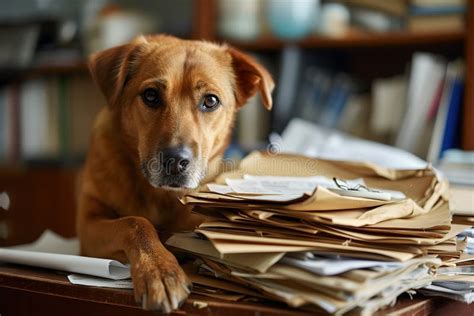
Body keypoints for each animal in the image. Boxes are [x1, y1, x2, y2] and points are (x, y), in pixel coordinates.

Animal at [74, 35, 274, 314]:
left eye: (210, 101)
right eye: (150, 95)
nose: (176, 162)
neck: (159, 196)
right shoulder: (88, 226)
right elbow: (135, 223)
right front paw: (159, 271)